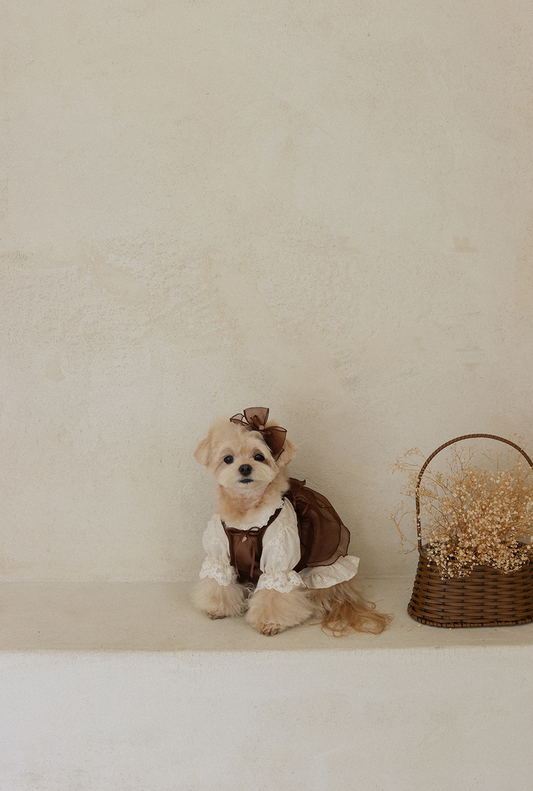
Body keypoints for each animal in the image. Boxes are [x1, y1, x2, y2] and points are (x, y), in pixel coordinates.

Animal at [192, 408, 390, 636]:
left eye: (259, 456)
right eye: (228, 458)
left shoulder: (279, 557)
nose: (245, 468)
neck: (247, 513)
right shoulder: (219, 555)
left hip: (321, 574)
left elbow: (275, 593)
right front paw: (218, 608)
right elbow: (219, 583)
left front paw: (270, 623)